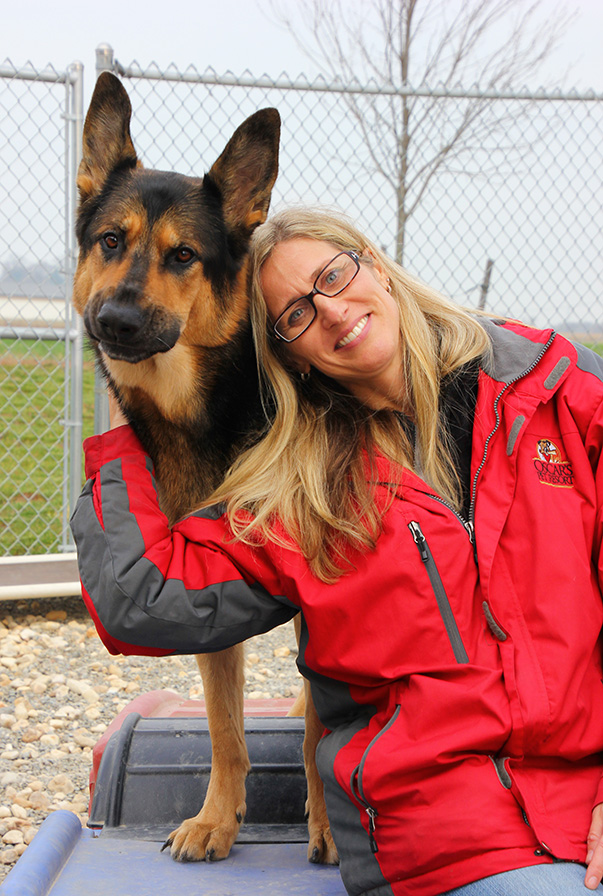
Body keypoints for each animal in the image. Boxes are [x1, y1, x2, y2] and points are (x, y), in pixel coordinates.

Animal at [73, 72, 338, 868]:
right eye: (111, 241)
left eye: (184, 255)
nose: (117, 321)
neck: (210, 408)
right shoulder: (208, 588)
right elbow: (223, 727)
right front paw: (218, 819)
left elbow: (320, 732)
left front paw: (325, 825)